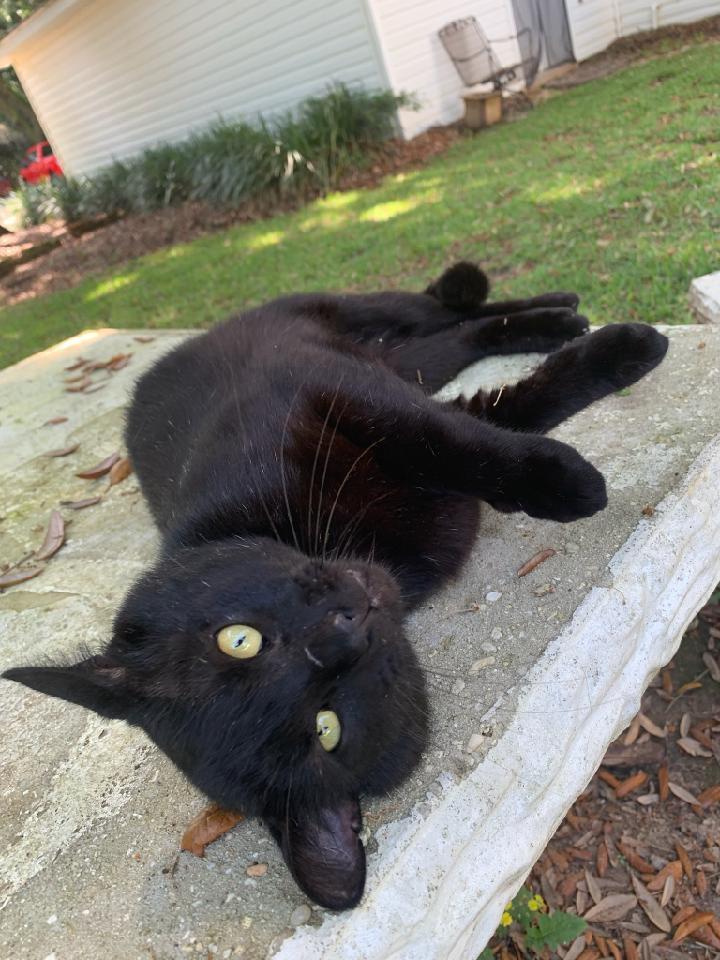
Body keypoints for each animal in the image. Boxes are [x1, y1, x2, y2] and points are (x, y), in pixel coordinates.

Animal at [4, 260, 668, 908]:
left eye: (237, 639)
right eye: (326, 728)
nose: (343, 626)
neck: (383, 555)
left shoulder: (333, 391)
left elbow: (460, 440)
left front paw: (571, 465)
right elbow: (495, 416)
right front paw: (577, 460)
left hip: (343, 320)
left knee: (441, 313)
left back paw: (558, 311)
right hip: (394, 354)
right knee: (444, 341)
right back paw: (563, 319)